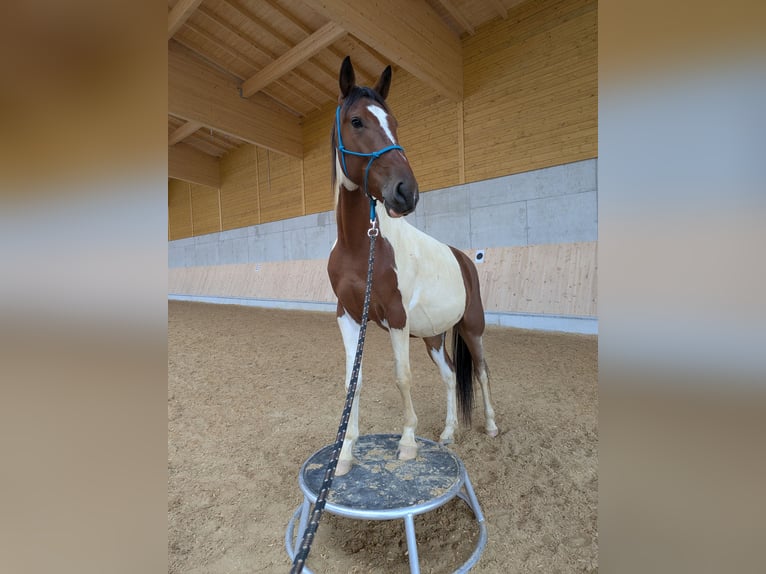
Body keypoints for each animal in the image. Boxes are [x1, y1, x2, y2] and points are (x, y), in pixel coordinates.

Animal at [327, 57, 498, 476]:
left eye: (395, 122)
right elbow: (351, 382)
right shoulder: (347, 316)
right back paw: (449, 433)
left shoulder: (396, 318)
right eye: (357, 121)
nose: (407, 192)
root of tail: (463, 258)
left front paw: (407, 443)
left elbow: (402, 378)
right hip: (434, 336)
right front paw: (345, 453)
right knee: (451, 376)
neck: (361, 246)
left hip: (472, 326)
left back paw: (490, 425)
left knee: (482, 370)